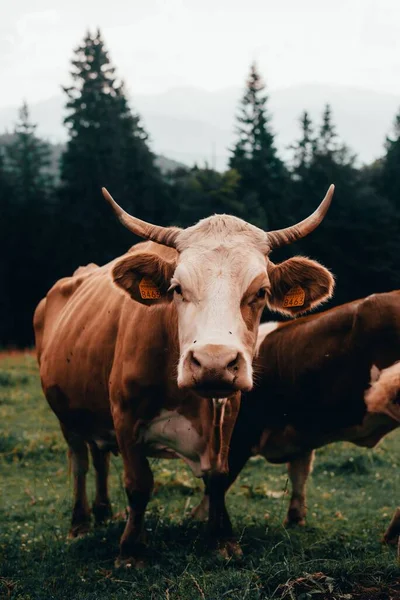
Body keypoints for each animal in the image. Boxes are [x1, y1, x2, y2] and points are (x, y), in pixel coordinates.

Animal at [33, 190, 334, 564]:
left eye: (261, 292)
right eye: (177, 288)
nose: (213, 362)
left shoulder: (228, 411)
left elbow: (219, 476)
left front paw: (222, 538)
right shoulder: (124, 415)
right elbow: (138, 483)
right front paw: (131, 549)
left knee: (99, 456)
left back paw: (103, 512)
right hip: (66, 415)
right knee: (80, 461)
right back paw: (81, 522)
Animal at [194, 290, 400, 552]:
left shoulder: (242, 431)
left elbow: (219, 479)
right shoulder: (302, 431)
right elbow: (300, 471)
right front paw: (295, 518)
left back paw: (392, 535)